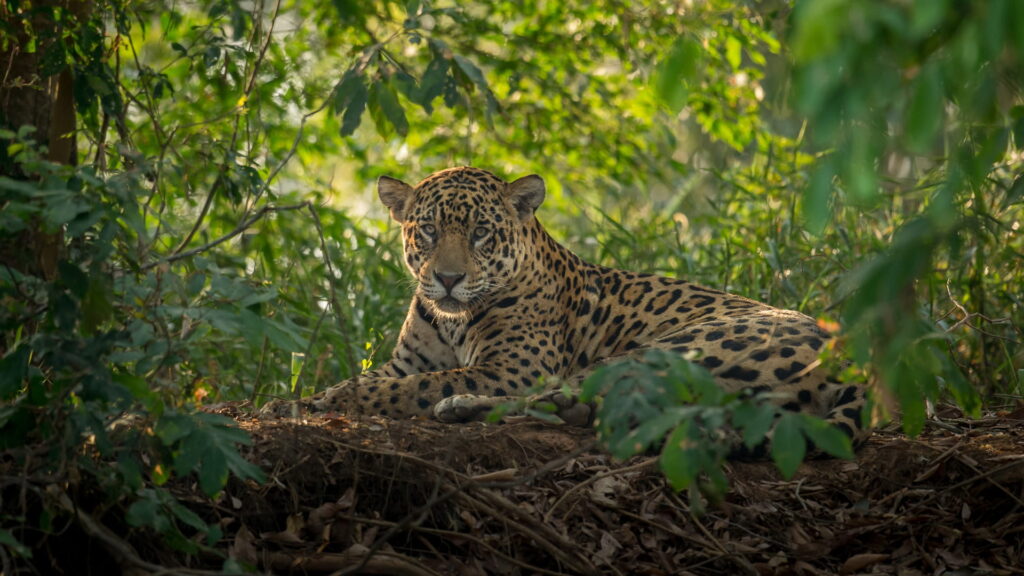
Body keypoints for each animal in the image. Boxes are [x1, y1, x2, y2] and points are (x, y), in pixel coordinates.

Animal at [276, 166, 869, 450]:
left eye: (481, 233)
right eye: (427, 231)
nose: (447, 279)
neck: (450, 321)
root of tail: (850, 362)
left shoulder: (512, 367)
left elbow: (409, 388)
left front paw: (326, 401)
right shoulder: (406, 360)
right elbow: (385, 377)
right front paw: (304, 398)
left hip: (667, 351)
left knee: (561, 398)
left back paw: (460, 407)